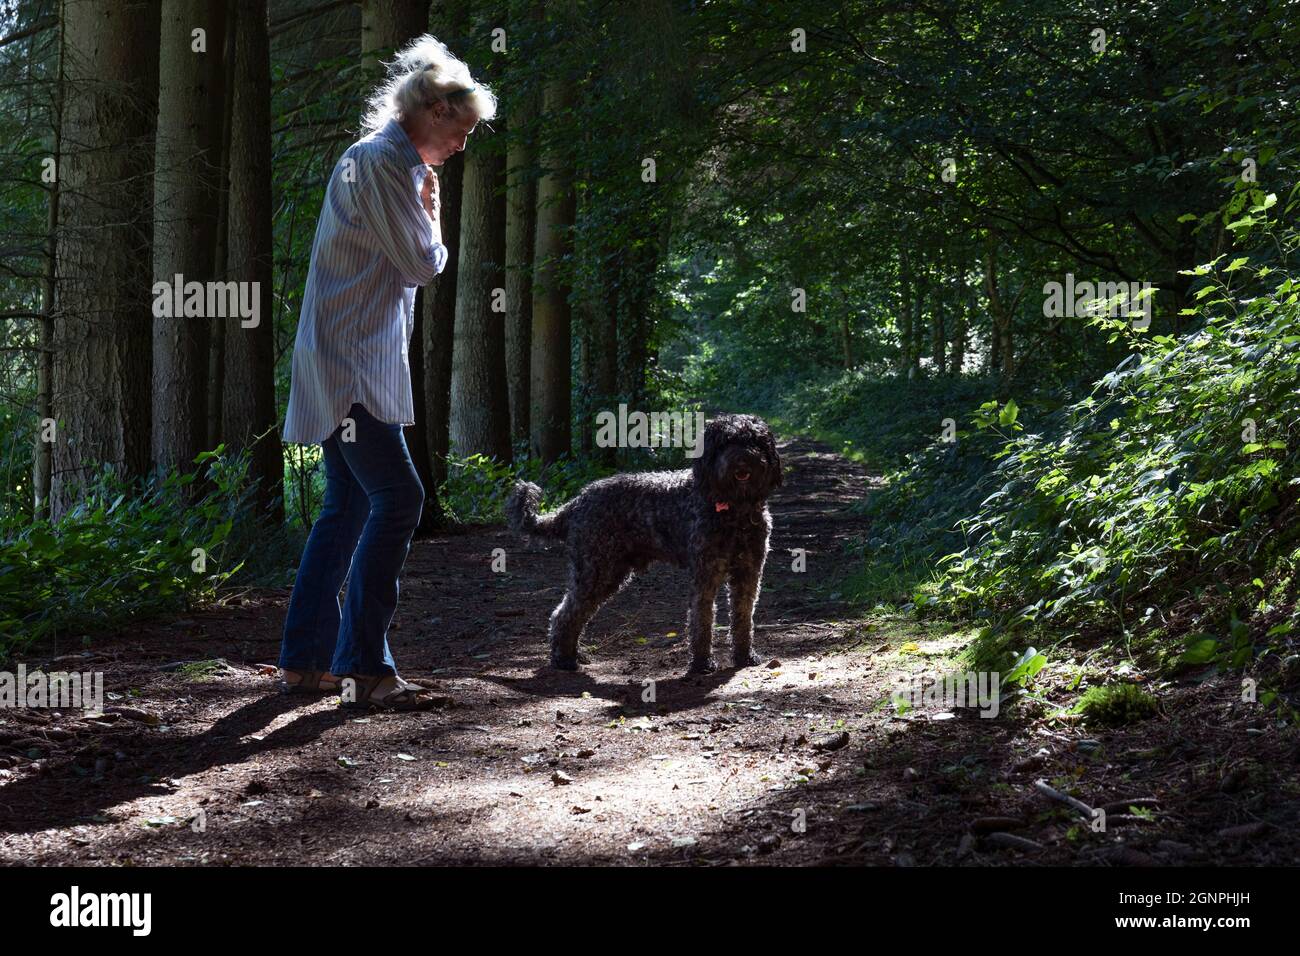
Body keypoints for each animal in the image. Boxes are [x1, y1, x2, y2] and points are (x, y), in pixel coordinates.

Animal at [506, 416, 780, 676]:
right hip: (595, 572)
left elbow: (743, 617)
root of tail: (576, 502)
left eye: (754, 440)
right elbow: (702, 620)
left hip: (606, 574)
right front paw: (702, 663)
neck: (735, 511)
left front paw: (744, 656)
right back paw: (563, 659)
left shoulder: (748, 573)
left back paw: (572, 655)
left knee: (572, 614)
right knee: (564, 614)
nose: (743, 460)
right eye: (726, 442)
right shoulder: (706, 574)